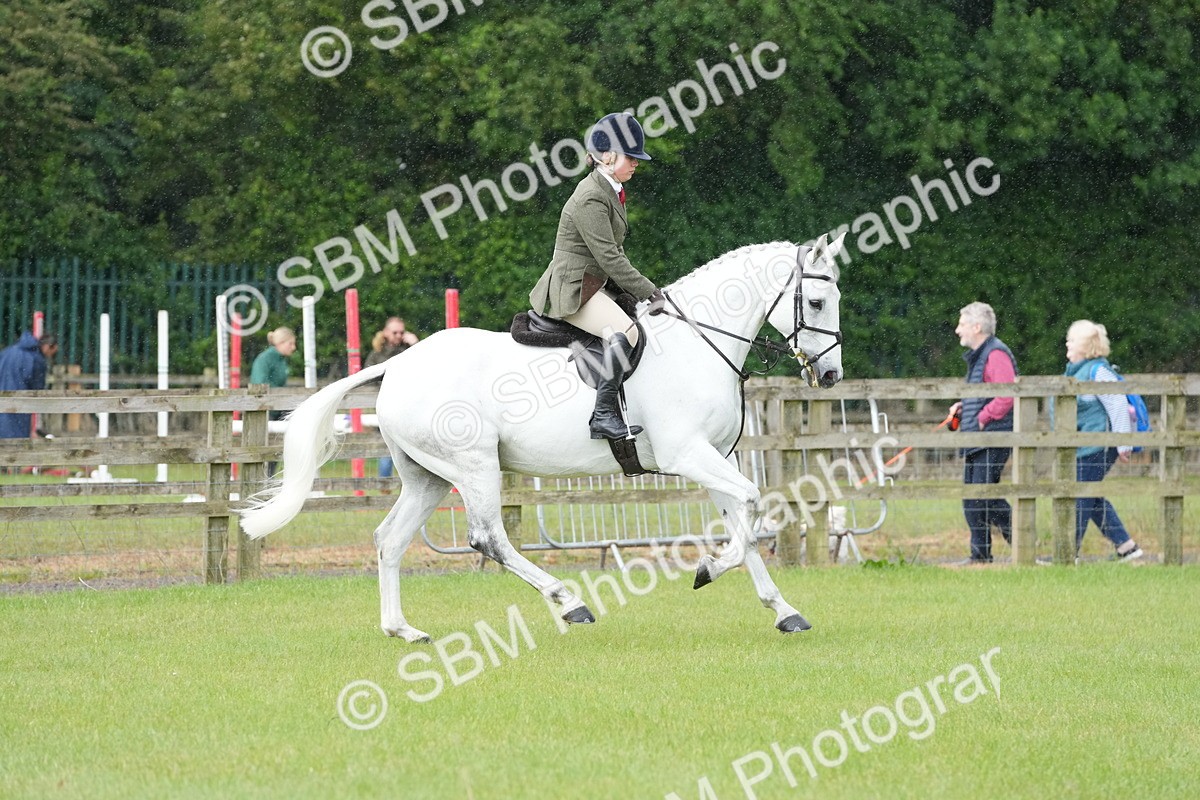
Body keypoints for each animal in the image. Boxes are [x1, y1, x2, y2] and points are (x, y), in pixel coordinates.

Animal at [240, 232, 845, 640]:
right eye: (816, 301)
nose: (832, 375)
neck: (698, 344)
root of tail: (399, 364)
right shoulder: (688, 454)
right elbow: (752, 506)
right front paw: (707, 569)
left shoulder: (718, 456)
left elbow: (746, 520)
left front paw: (782, 609)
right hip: (475, 466)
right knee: (488, 538)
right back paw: (569, 601)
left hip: (428, 477)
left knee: (391, 539)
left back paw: (403, 630)